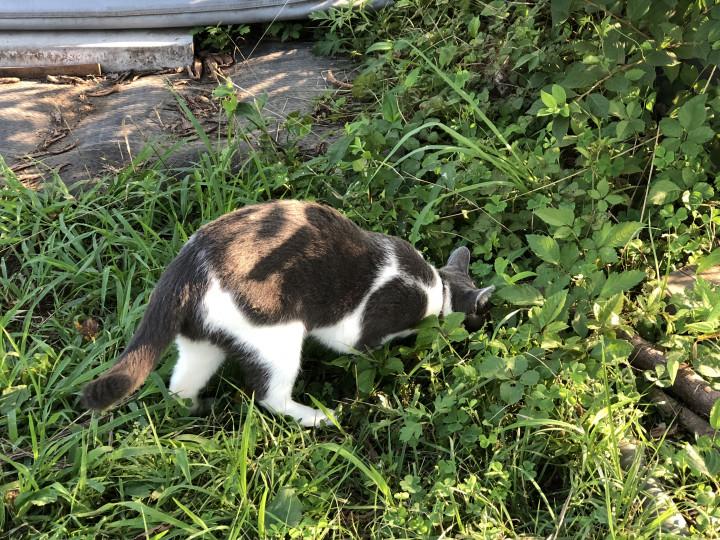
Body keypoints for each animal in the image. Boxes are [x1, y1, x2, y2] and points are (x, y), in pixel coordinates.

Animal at [81, 200, 494, 426]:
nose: (481, 328)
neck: (438, 288)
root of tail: (188, 266)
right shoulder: (355, 326)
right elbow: (358, 346)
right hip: (275, 334)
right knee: (269, 395)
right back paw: (317, 417)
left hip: (204, 339)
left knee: (180, 384)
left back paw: (199, 408)